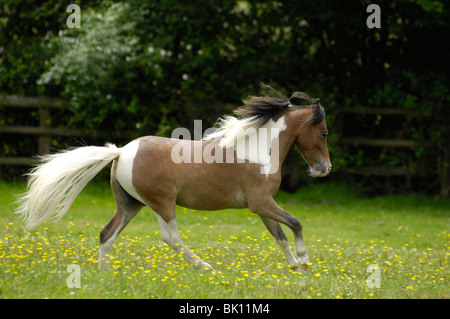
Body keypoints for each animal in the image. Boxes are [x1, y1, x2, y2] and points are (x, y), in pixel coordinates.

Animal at [14, 89, 330, 272]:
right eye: (324, 132)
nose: (324, 169)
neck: (256, 147)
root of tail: (121, 151)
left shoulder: (262, 206)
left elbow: (279, 235)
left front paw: (295, 267)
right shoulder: (261, 203)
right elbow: (295, 224)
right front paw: (304, 260)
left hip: (130, 205)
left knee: (106, 234)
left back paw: (104, 275)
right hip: (161, 202)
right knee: (170, 237)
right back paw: (205, 267)